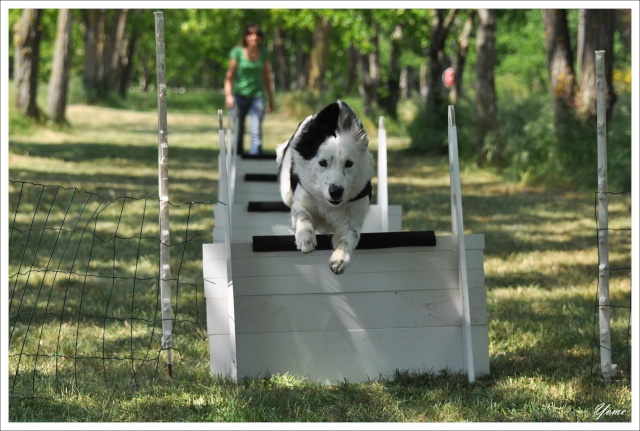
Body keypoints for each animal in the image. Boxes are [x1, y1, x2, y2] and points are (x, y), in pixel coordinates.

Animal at [276, 102, 376, 274]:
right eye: (322, 163)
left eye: (349, 163)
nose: (335, 192)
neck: (328, 204)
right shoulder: (302, 200)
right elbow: (302, 214)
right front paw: (305, 238)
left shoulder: (353, 218)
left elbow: (349, 238)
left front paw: (340, 259)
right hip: (286, 192)